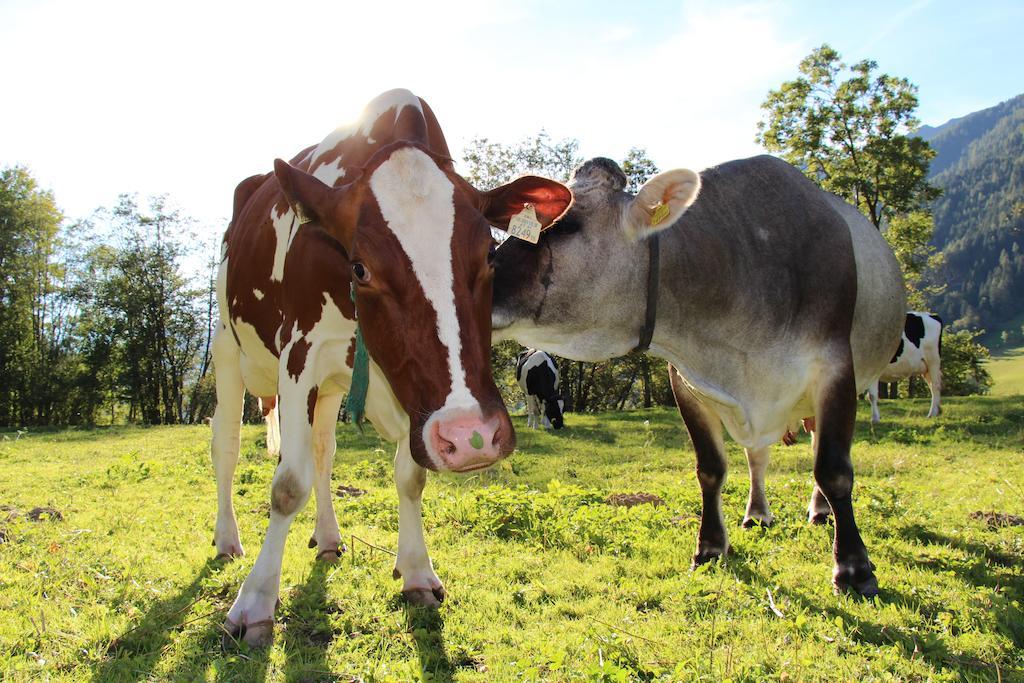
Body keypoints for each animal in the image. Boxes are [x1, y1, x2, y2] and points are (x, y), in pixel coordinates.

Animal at [211, 92, 573, 647]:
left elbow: (409, 476)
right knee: (226, 449)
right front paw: (255, 602)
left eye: (491, 255)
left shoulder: (408, 390)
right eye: (361, 268)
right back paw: (228, 540)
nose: (471, 436)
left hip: (332, 387)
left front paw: (417, 573)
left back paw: (329, 537)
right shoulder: (300, 354)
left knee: (324, 453)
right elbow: (287, 484)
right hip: (228, 351)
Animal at [495, 156, 905, 598]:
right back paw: (757, 513)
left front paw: (854, 568)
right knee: (757, 455)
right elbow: (710, 468)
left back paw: (819, 511)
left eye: (567, 225)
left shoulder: (835, 369)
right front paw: (709, 548)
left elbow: (833, 469)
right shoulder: (686, 382)